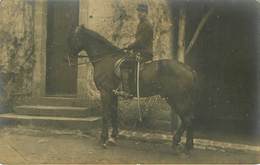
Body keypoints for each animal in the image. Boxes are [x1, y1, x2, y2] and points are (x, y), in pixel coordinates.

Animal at [68, 25, 198, 151]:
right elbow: (114, 113)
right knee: (190, 118)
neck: (106, 58)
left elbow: (105, 115)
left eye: (74, 37)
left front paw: (103, 139)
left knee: (187, 119)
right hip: (177, 99)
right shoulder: (113, 93)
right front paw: (113, 137)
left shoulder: (105, 92)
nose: (68, 58)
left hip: (177, 99)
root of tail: (189, 69)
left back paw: (177, 142)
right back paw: (188, 145)